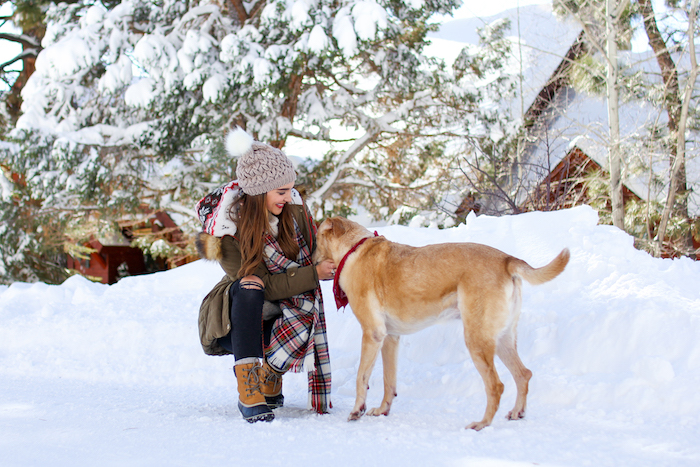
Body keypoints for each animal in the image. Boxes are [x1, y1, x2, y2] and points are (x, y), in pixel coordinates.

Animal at [314, 218, 572, 430]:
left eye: (316, 239)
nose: (312, 261)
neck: (353, 249)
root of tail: (507, 260)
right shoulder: (390, 338)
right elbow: (389, 381)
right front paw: (382, 410)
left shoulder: (372, 334)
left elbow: (361, 377)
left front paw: (357, 410)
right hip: (502, 339)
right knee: (523, 374)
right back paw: (517, 412)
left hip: (477, 340)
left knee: (496, 385)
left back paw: (482, 424)